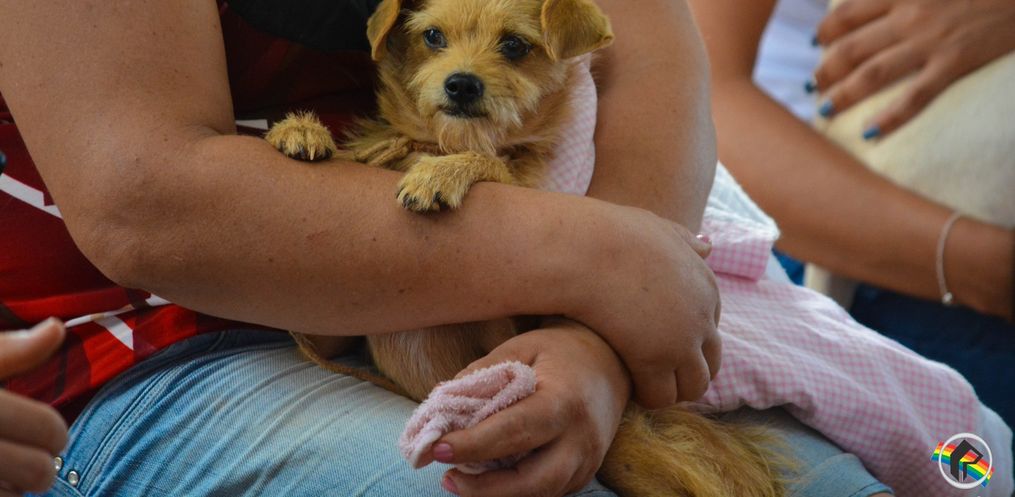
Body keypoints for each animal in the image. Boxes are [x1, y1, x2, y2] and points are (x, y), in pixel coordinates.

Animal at [266, 1, 785, 496]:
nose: (462, 84)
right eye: (432, 36)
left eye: (514, 45)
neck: (438, 142)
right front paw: (303, 131)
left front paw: (443, 173)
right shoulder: (328, 335)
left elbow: (491, 166)